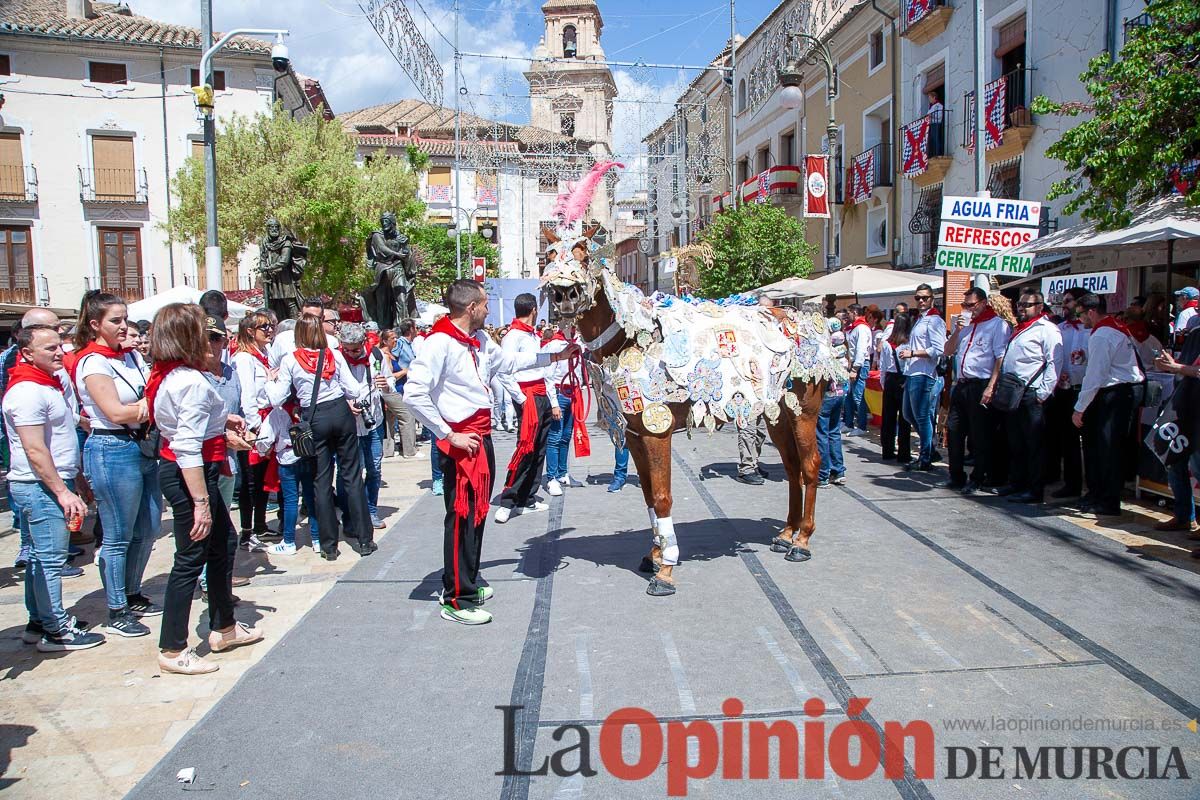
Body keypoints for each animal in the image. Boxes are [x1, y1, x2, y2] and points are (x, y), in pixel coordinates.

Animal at [540, 172, 849, 594]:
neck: (632, 338)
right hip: (776, 413)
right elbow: (648, 495)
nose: (563, 296)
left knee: (811, 465)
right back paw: (786, 533)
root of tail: (809, 324)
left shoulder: (656, 431)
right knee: (790, 467)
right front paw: (654, 555)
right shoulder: (635, 433)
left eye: (584, 255)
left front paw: (666, 569)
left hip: (805, 411)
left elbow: (663, 496)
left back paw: (802, 540)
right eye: (549, 256)